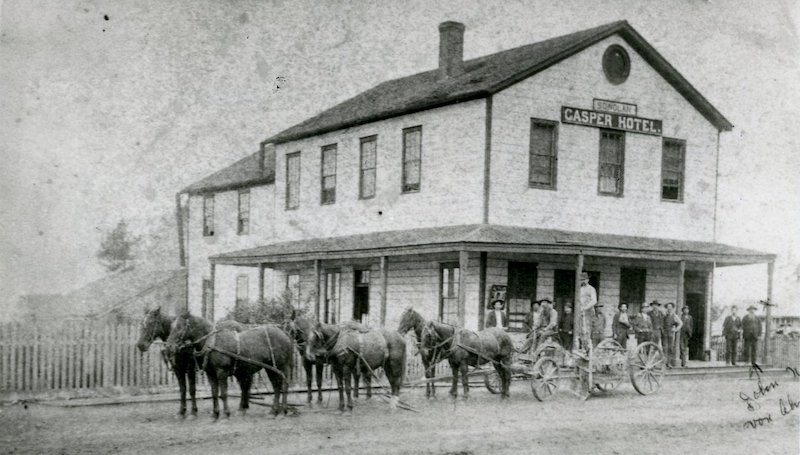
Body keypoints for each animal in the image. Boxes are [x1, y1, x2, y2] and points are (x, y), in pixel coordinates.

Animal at [166, 316, 294, 418]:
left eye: (179, 327)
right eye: (171, 327)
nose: (168, 346)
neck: (212, 342)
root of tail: (285, 334)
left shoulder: (221, 372)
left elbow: (223, 393)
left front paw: (225, 414)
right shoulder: (210, 373)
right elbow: (214, 393)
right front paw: (215, 414)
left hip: (281, 365)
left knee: (284, 385)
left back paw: (283, 411)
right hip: (270, 368)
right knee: (276, 387)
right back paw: (273, 411)